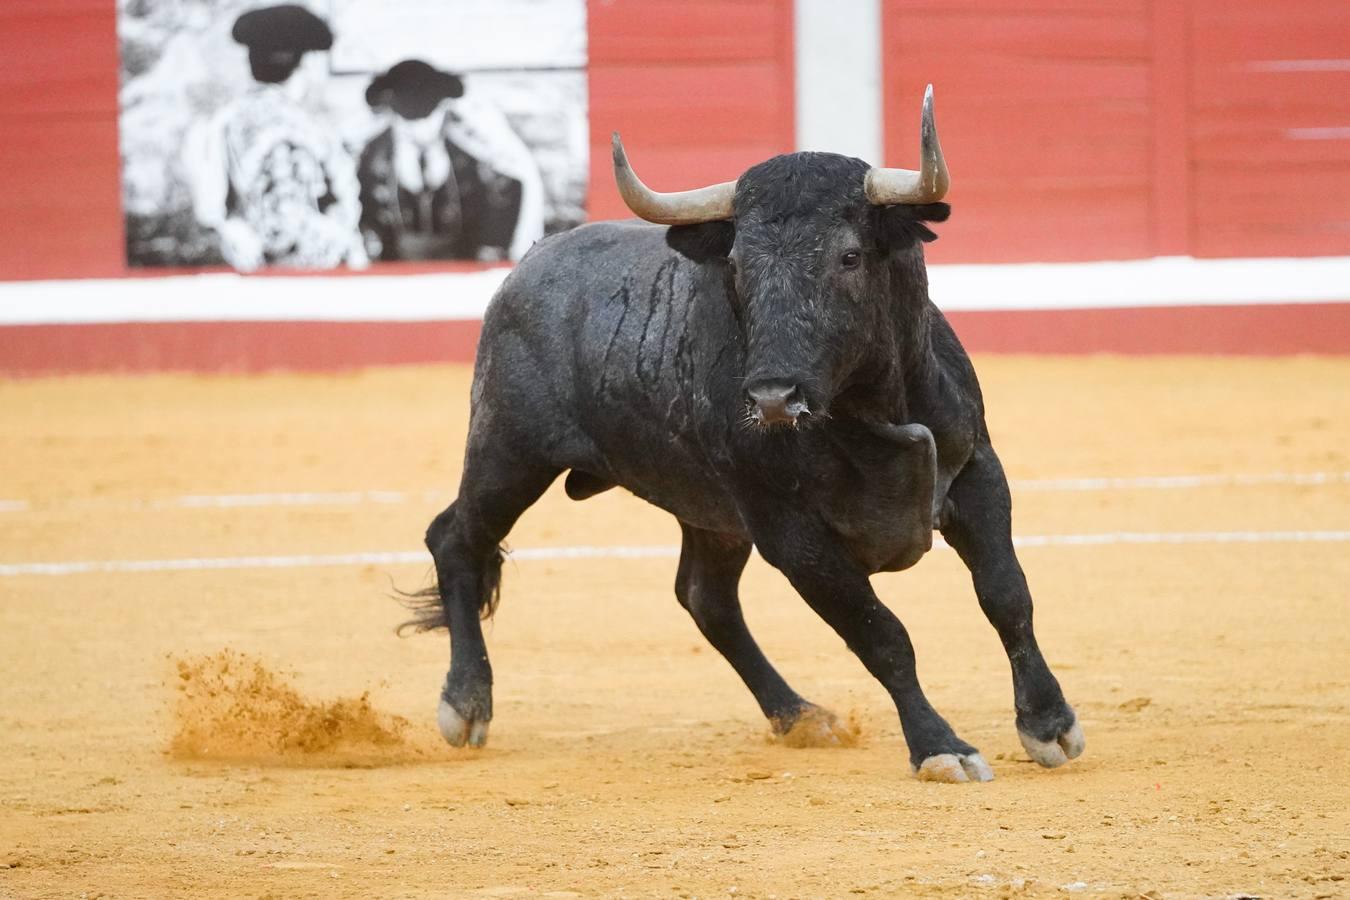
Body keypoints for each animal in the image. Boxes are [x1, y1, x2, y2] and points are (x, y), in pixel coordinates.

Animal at [402, 123, 1085, 782]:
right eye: (736, 264)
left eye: (849, 255)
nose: (774, 398)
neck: (870, 410)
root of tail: (529, 264)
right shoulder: (789, 532)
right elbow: (882, 635)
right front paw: (941, 748)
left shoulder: (977, 471)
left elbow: (1006, 595)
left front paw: (1049, 725)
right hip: (510, 452)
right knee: (456, 539)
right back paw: (465, 704)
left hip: (706, 511)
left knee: (706, 598)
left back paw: (800, 716)